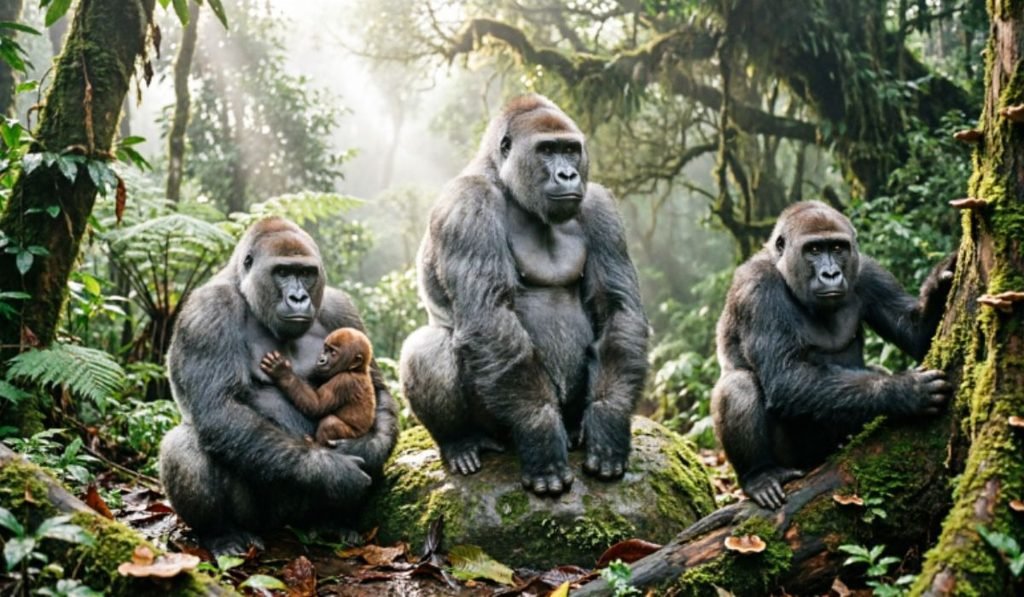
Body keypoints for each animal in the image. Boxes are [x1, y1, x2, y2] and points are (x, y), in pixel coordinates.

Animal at [158, 217, 399, 555]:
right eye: (282, 272)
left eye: (306, 273)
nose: (298, 298)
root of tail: (284, 528)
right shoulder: (208, 311)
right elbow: (220, 406)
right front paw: (330, 471)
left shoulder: (340, 307)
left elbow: (377, 390)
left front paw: (366, 448)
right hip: (258, 519)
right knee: (183, 442)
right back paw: (222, 533)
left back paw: (333, 523)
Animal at [399, 94, 649, 497]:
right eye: (546, 150)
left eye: (570, 150)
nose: (568, 175)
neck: (505, 181)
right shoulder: (467, 204)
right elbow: (489, 315)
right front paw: (539, 435)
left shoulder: (599, 206)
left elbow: (616, 308)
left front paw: (608, 422)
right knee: (426, 345)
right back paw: (460, 441)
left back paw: (577, 429)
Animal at [711, 201, 955, 510]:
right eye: (814, 250)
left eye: (838, 248)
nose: (830, 274)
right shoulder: (756, 287)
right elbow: (786, 375)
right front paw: (903, 391)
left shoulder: (867, 271)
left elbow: (916, 335)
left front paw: (938, 288)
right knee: (738, 384)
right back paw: (759, 475)